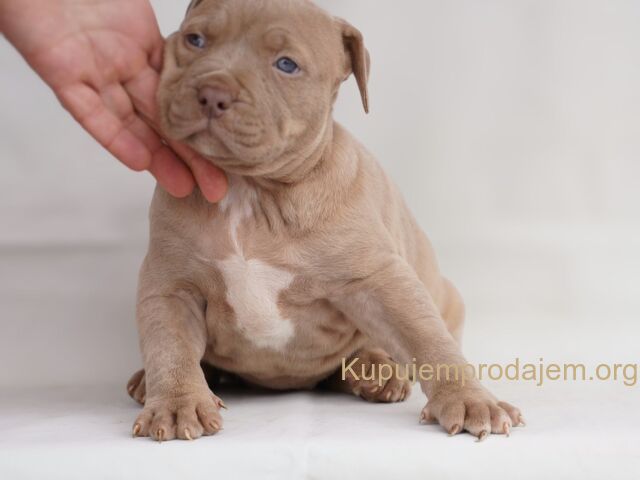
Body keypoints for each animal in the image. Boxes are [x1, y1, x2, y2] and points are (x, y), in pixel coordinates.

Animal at [127, 0, 523, 442]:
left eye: (286, 64)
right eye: (195, 40)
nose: (212, 93)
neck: (250, 192)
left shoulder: (378, 278)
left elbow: (427, 336)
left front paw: (470, 400)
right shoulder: (171, 288)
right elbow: (171, 346)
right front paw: (176, 402)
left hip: (445, 297)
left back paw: (376, 372)